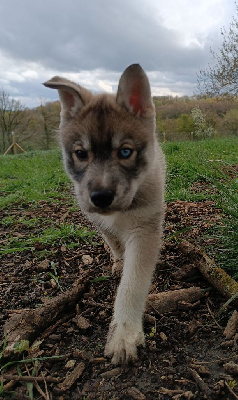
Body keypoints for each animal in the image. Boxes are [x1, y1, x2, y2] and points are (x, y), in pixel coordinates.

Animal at [44, 64, 165, 364]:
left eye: (125, 152)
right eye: (80, 154)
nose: (100, 197)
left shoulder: (144, 230)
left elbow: (131, 285)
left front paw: (124, 335)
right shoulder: (97, 219)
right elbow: (112, 239)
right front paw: (119, 260)